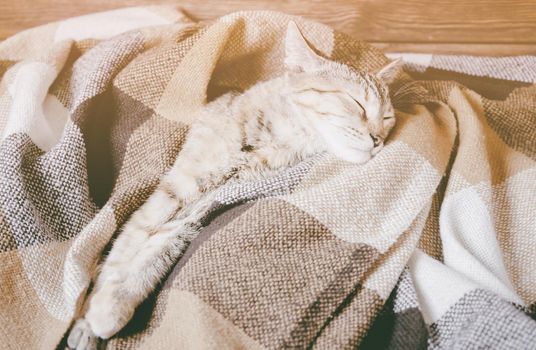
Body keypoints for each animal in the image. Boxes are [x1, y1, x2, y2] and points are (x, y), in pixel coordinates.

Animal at [67, 20, 400, 348]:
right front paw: (89, 316)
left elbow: (154, 252)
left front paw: (111, 305)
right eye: (355, 103)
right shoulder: (173, 190)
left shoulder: (201, 207)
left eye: (387, 118)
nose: (378, 140)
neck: (273, 141)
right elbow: (125, 248)